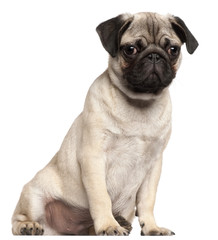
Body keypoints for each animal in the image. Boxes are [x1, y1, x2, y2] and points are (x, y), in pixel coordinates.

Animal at [11, 12, 199, 235]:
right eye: (130, 49)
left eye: (173, 50)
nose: (154, 56)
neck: (139, 103)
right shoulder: (94, 157)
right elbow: (101, 197)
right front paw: (108, 225)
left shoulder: (154, 164)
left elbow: (147, 200)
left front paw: (152, 227)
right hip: (33, 196)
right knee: (17, 219)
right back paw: (28, 226)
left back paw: (120, 222)